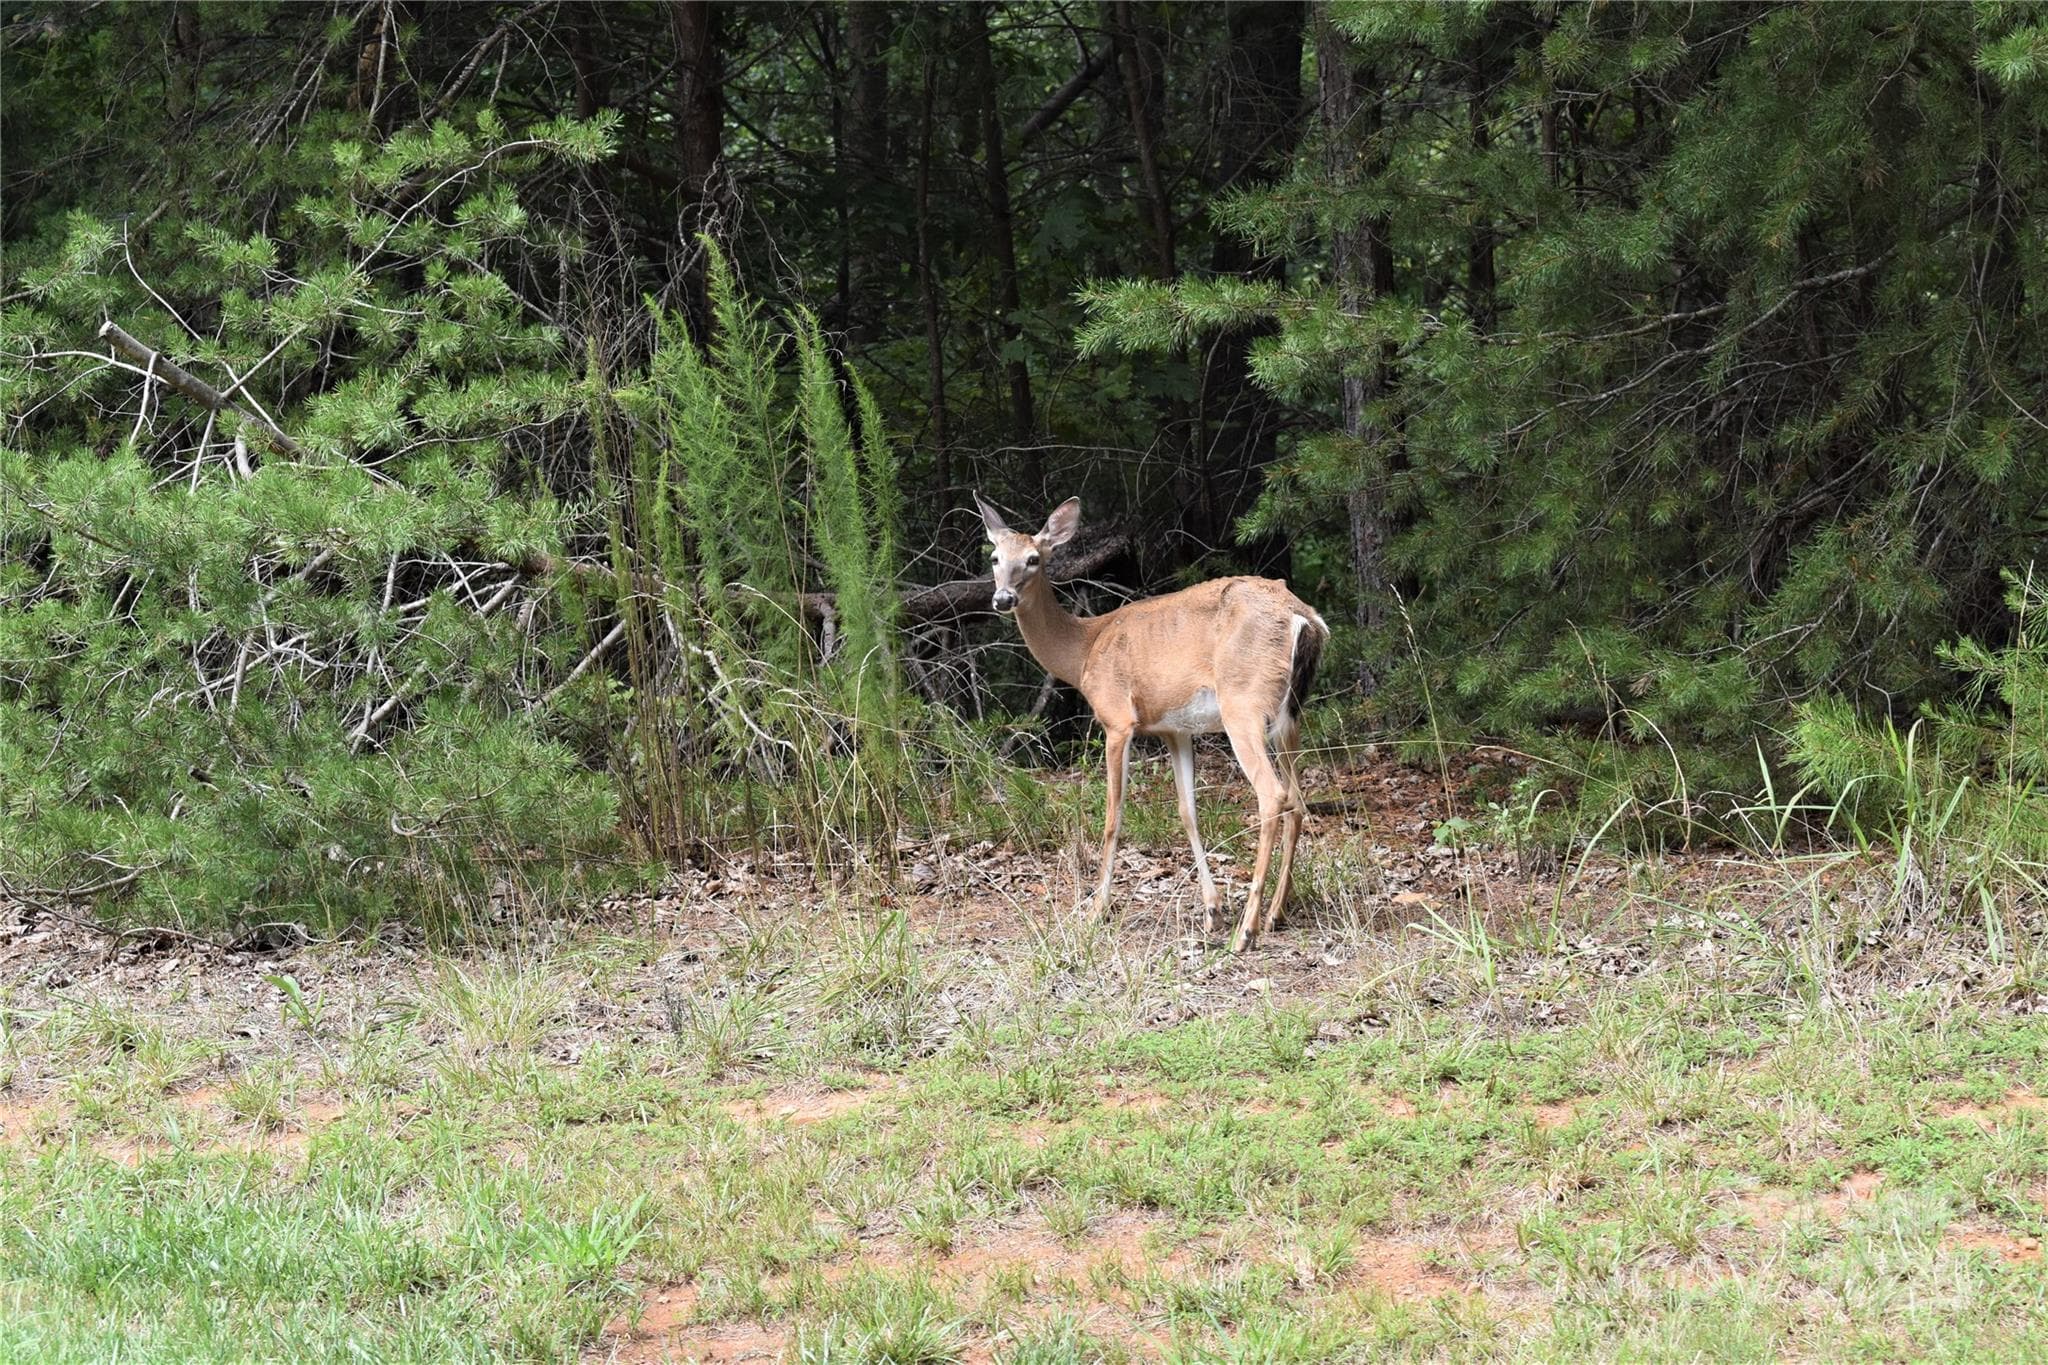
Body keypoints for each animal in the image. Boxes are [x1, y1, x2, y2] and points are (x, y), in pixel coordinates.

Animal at [975, 493, 1328, 952]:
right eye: (995, 557)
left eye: (1034, 559)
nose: (1002, 599)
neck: (1084, 651)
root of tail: (1303, 618)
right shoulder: (1174, 730)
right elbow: (1187, 811)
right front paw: (1212, 909)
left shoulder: (1117, 719)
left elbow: (1113, 816)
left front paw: (1097, 910)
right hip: (1289, 717)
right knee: (1299, 801)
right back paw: (1274, 914)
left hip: (1243, 703)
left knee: (1273, 795)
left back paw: (1247, 931)